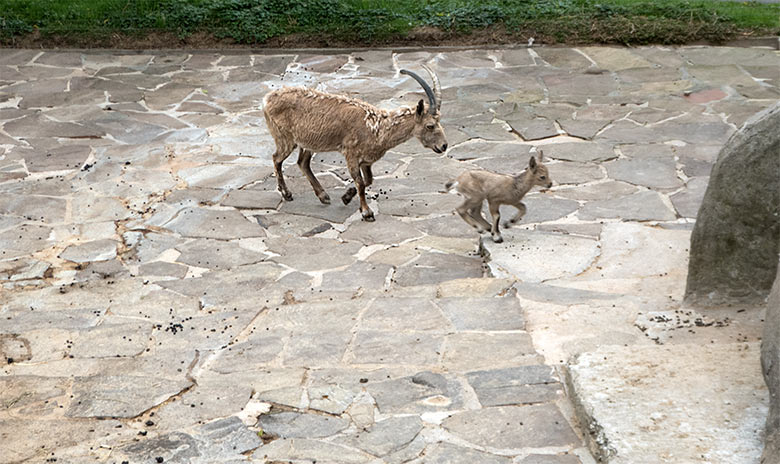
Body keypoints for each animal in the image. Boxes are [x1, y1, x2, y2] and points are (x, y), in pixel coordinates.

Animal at [262, 65, 444, 223]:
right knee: (276, 158)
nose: (443, 146)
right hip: (285, 138)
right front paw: (367, 212)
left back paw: (323, 196)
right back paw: (287, 194)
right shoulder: (351, 154)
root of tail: (266, 100)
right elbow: (361, 182)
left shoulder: (366, 161)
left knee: (302, 162)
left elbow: (368, 180)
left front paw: (346, 197)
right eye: (430, 125)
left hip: (307, 142)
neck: (376, 128)